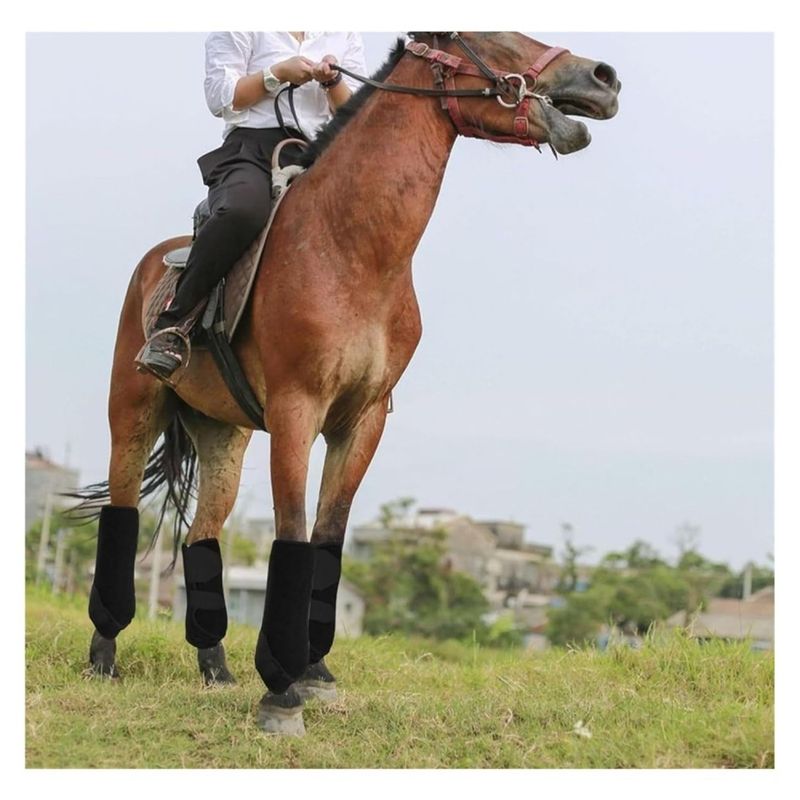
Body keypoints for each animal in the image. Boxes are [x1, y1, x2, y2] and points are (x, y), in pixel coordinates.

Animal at [75, 32, 620, 736]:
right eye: (489, 33)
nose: (603, 78)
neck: (352, 250)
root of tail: (154, 262)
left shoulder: (363, 420)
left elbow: (328, 536)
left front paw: (314, 675)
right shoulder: (296, 411)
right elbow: (292, 531)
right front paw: (280, 692)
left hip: (223, 436)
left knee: (203, 535)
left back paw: (217, 670)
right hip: (134, 410)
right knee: (121, 512)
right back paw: (104, 656)